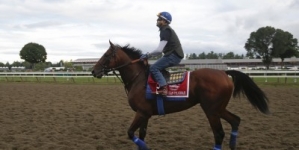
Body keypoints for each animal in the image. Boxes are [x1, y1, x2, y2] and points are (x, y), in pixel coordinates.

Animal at [91, 40, 270, 149]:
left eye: (106, 55)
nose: (93, 71)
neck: (139, 78)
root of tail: (223, 72)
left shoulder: (141, 113)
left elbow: (130, 133)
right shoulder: (145, 114)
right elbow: (141, 135)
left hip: (211, 110)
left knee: (219, 133)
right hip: (218, 108)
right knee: (235, 121)